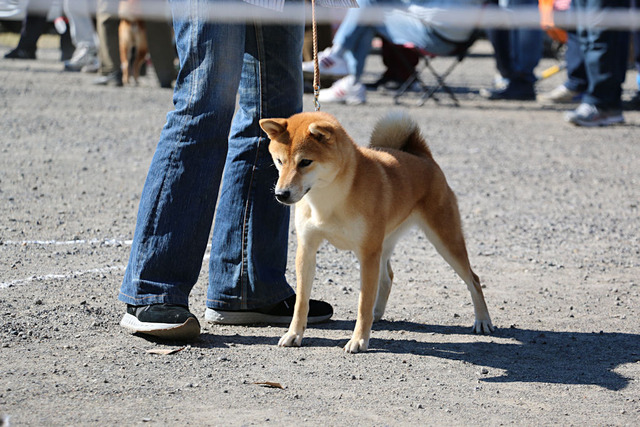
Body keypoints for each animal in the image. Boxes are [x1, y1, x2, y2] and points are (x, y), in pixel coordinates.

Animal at [260, 111, 496, 354]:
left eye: (305, 162)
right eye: (280, 161)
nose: (281, 194)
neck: (329, 199)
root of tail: (423, 157)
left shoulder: (367, 253)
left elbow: (363, 303)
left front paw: (359, 340)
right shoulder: (307, 249)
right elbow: (301, 303)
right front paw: (294, 334)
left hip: (444, 240)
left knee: (474, 279)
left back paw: (483, 320)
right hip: (384, 244)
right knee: (388, 278)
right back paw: (377, 313)